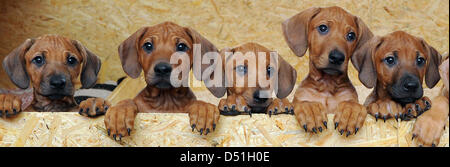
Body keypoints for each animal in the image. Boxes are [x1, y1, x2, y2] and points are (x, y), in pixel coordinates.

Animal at [282, 6, 372, 136]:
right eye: (323, 28)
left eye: (351, 35)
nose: (337, 57)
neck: (327, 85)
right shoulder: (298, 100)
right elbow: (303, 103)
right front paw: (311, 110)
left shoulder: (350, 98)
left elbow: (353, 104)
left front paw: (350, 111)